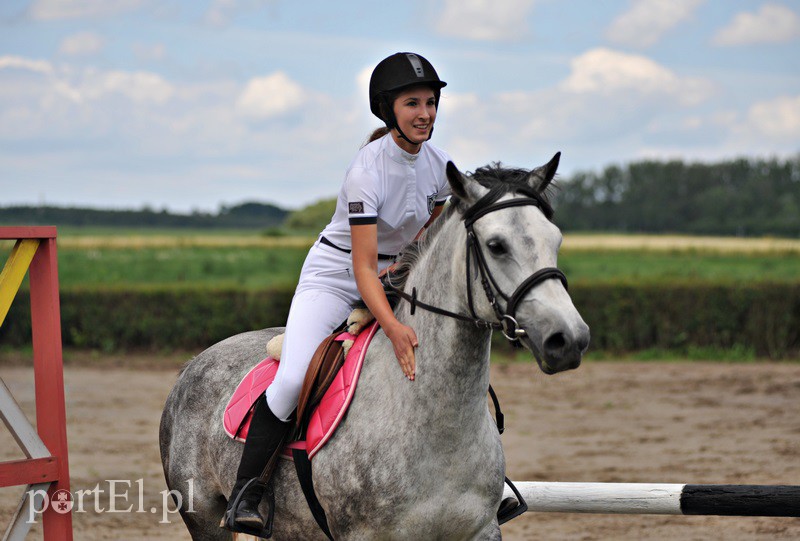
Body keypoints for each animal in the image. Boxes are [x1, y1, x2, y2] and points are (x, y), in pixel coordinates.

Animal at [159, 154, 592, 536]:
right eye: (497, 245)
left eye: (555, 239)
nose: (569, 339)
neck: (435, 420)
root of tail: (193, 365)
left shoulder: (479, 530)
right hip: (203, 518)